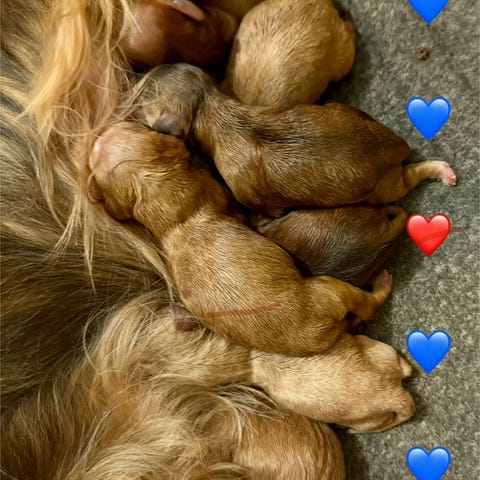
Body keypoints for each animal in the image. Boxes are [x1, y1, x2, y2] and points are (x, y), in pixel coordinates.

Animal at [138, 63, 457, 216]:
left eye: (143, 95)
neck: (211, 108)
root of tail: (394, 146)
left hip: (385, 188)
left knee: (408, 177)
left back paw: (442, 171)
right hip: (348, 111)